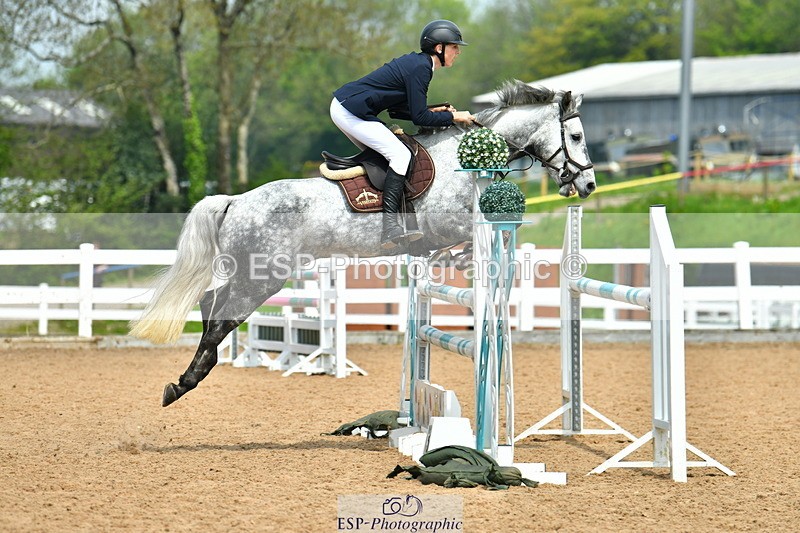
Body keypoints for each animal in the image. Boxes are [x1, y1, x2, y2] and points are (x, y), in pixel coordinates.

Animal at [129, 81, 596, 407]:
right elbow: (464, 240)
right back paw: (183, 384)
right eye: (575, 138)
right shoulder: (449, 223)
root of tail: (235, 200)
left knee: (211, 304)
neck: (467, 157)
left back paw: (186, 380)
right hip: (263, 276)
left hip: (253, 273)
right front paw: (460, 259)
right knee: (220, 318)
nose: (588, 185)